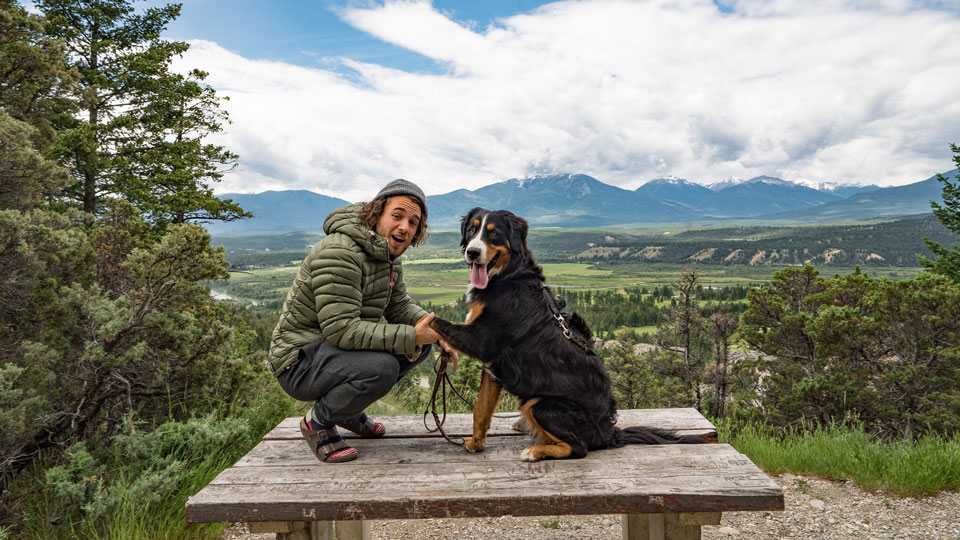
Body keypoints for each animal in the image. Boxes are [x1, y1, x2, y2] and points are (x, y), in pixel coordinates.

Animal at [432, 209, 708, 462]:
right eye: (472, 230)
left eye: (493, 233)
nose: (472, 252)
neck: (508, 276)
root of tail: (608, 433)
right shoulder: (492, 367)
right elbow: (481, 410)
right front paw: (476, 443)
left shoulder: (482, 341)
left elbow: (434, 320)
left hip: (539, 404)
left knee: (578, 448)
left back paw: (535, 450)